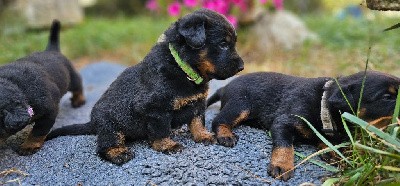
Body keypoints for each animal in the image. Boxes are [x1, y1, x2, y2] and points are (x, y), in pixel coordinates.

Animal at [0, 20, 85, 155]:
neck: (15, 85)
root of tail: (51, 50)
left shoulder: (49, 112)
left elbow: (38, 131)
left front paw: (28, 146)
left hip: (71, 78)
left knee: (78, 86)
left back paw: (79, 100)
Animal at [48, 8, 245, 165]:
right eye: (223, 44)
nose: (242, 67)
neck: (182, 68)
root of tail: (93, 123)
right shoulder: (155, 109)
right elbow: (160, 130)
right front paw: (167, 145)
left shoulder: (197, 103)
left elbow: (197, 121)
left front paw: (203, 135)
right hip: (110, 125)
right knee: (105, 145)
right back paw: (118, 153)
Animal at [208, 71, 398, 180]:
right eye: (387, 97)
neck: (323, 104)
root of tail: (224, 88)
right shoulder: (283, 122)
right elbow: (285, 145)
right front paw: (282, 165)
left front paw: (332, 152)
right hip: (241, 104)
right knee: (219, 120)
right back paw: (225, 135)